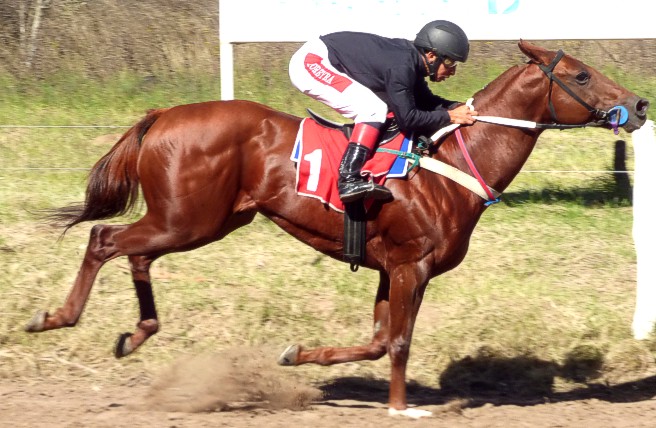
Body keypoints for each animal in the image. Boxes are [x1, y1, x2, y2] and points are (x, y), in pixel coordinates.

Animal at [25, 41, 649, 418]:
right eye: (581, 74)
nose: (640, 104)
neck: (451, 162)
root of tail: (162, 115)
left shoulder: (392, 268)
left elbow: (375, 341)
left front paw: (297, 355)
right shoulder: (411, 266)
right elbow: (397, 342)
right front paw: (401, 407)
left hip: (199, 220)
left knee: (135, 254)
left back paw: (137, 333)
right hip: (188, 219)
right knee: (106, 241)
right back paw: (57, 318)